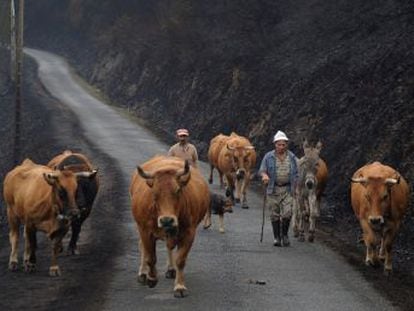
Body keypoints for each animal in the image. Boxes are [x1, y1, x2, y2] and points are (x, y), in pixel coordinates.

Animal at [130, 155, 210, 298]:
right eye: (154, 193)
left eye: (178, 190)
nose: (166, 220)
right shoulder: (145, 231)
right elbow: (151, 258)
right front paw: (151, 278)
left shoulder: (189, 233)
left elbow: (181, 260)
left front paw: (179, 286)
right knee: (142, 247)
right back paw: (143, 273)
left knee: (169, 247)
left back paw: (171, 269)